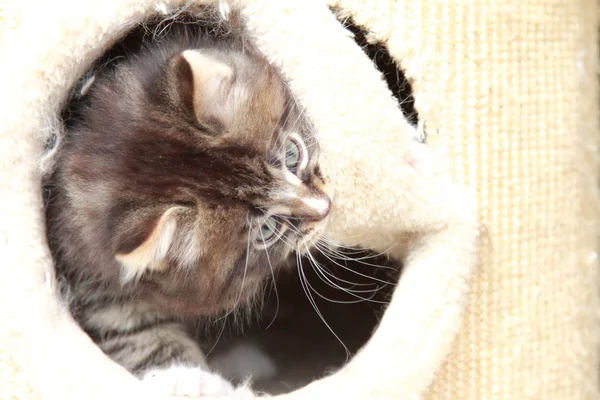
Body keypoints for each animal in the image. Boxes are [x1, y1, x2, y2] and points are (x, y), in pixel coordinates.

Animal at [44, 25, 336, 396]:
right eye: (266, 231)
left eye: (292, 154)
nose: (325, 208)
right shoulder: (91, 281)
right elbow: (137, 334)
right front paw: (190, 378)